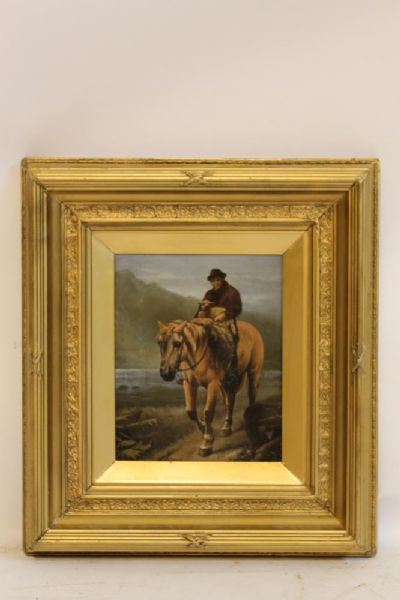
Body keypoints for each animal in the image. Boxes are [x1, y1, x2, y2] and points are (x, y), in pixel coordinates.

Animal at [156, 317, 264, 456]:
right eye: (159, 343)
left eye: (177, 344)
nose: (165, 373)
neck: (198, 352)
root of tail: (252, 328)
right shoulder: (189, 384)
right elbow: (191, 411)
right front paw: (203, 428)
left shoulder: (213, 384)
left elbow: (208, 412)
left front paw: (206, 443)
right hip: (225, 383)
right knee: (229, 401)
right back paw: (226, 427)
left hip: (253, 372)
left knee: (252, 394)